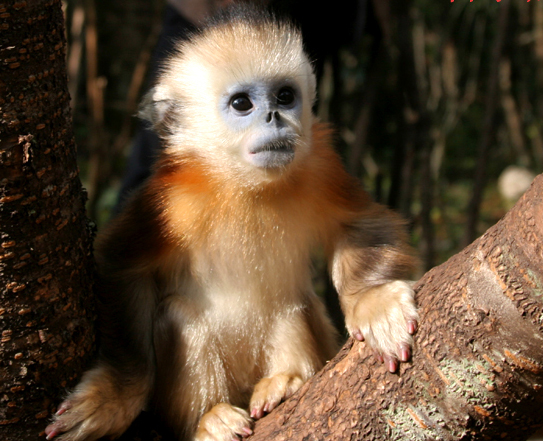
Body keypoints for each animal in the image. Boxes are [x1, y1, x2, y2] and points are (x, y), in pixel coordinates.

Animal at [46, 4, 418, 440]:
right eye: (242, 104)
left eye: (285, 96)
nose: (275, 116)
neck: (244, 185)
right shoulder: (167, 201)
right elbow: (120, 264)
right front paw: (114, 395)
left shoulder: (320, 165)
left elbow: (359, 223)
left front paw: (374, 302)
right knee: (179, 315)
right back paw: (210, 419)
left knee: (289, 304)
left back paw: (285, 382)